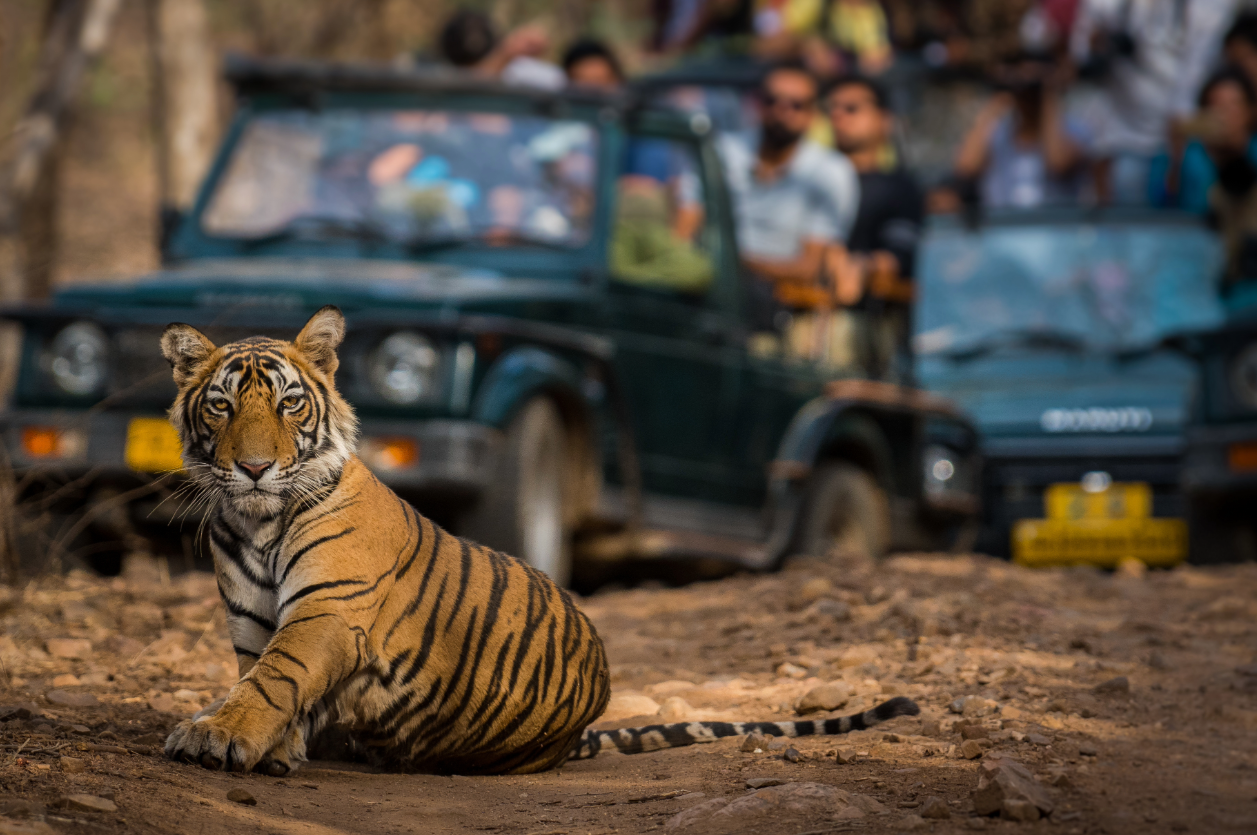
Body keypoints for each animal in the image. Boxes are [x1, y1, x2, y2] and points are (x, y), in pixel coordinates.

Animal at [159, 306, 919, 776]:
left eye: (290, 403)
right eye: (221, 405)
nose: (255, 467)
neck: (256, 521)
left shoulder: (328, 610)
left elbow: (273, 678)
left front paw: (217, 736)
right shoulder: (252, 619)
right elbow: (258, 677)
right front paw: (268, 746)